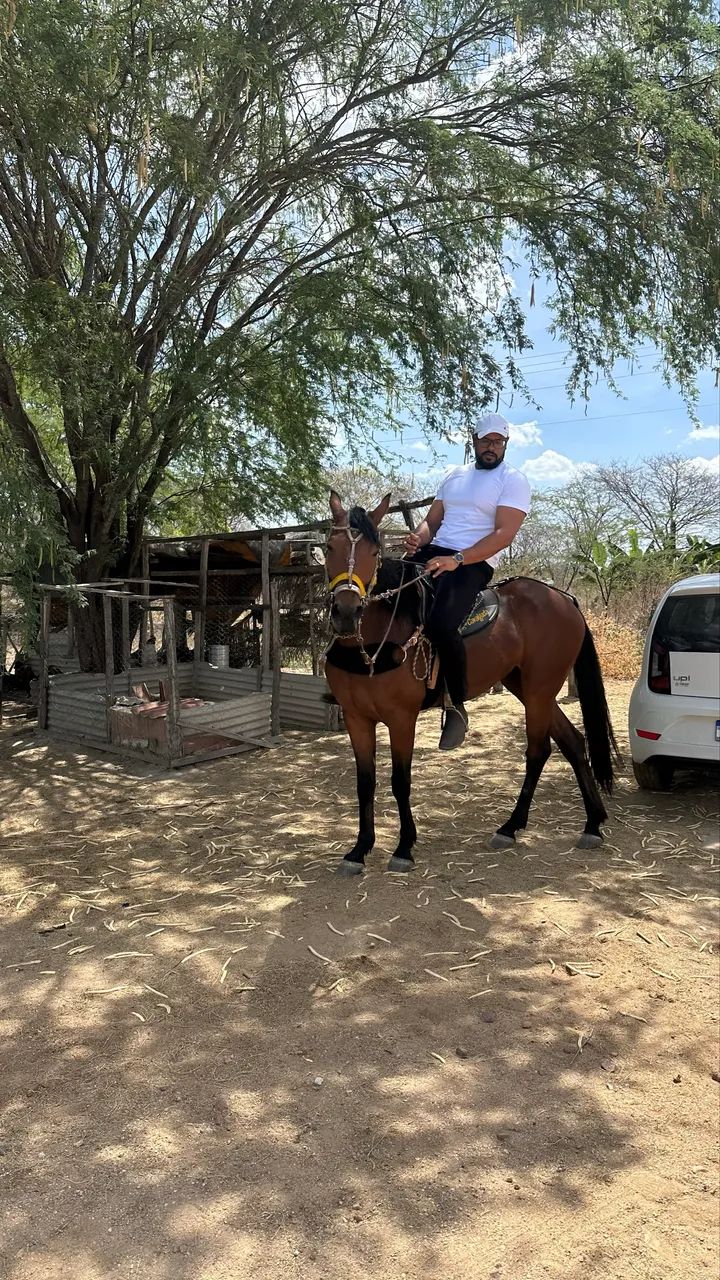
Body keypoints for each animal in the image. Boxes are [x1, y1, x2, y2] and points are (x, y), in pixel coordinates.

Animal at [322, 490, 620, 876]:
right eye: (329, 547)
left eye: (374, 553)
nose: (346, 612)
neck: (375, 639)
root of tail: (564, 599)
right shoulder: (357, 718)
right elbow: (365, 783)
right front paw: (359, 849)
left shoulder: (402, 719)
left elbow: (400, 782)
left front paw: (403, 848)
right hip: (527, 688)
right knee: (572, 741)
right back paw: (592, 824)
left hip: (539, 690)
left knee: (538, 751)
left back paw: (510, 827)